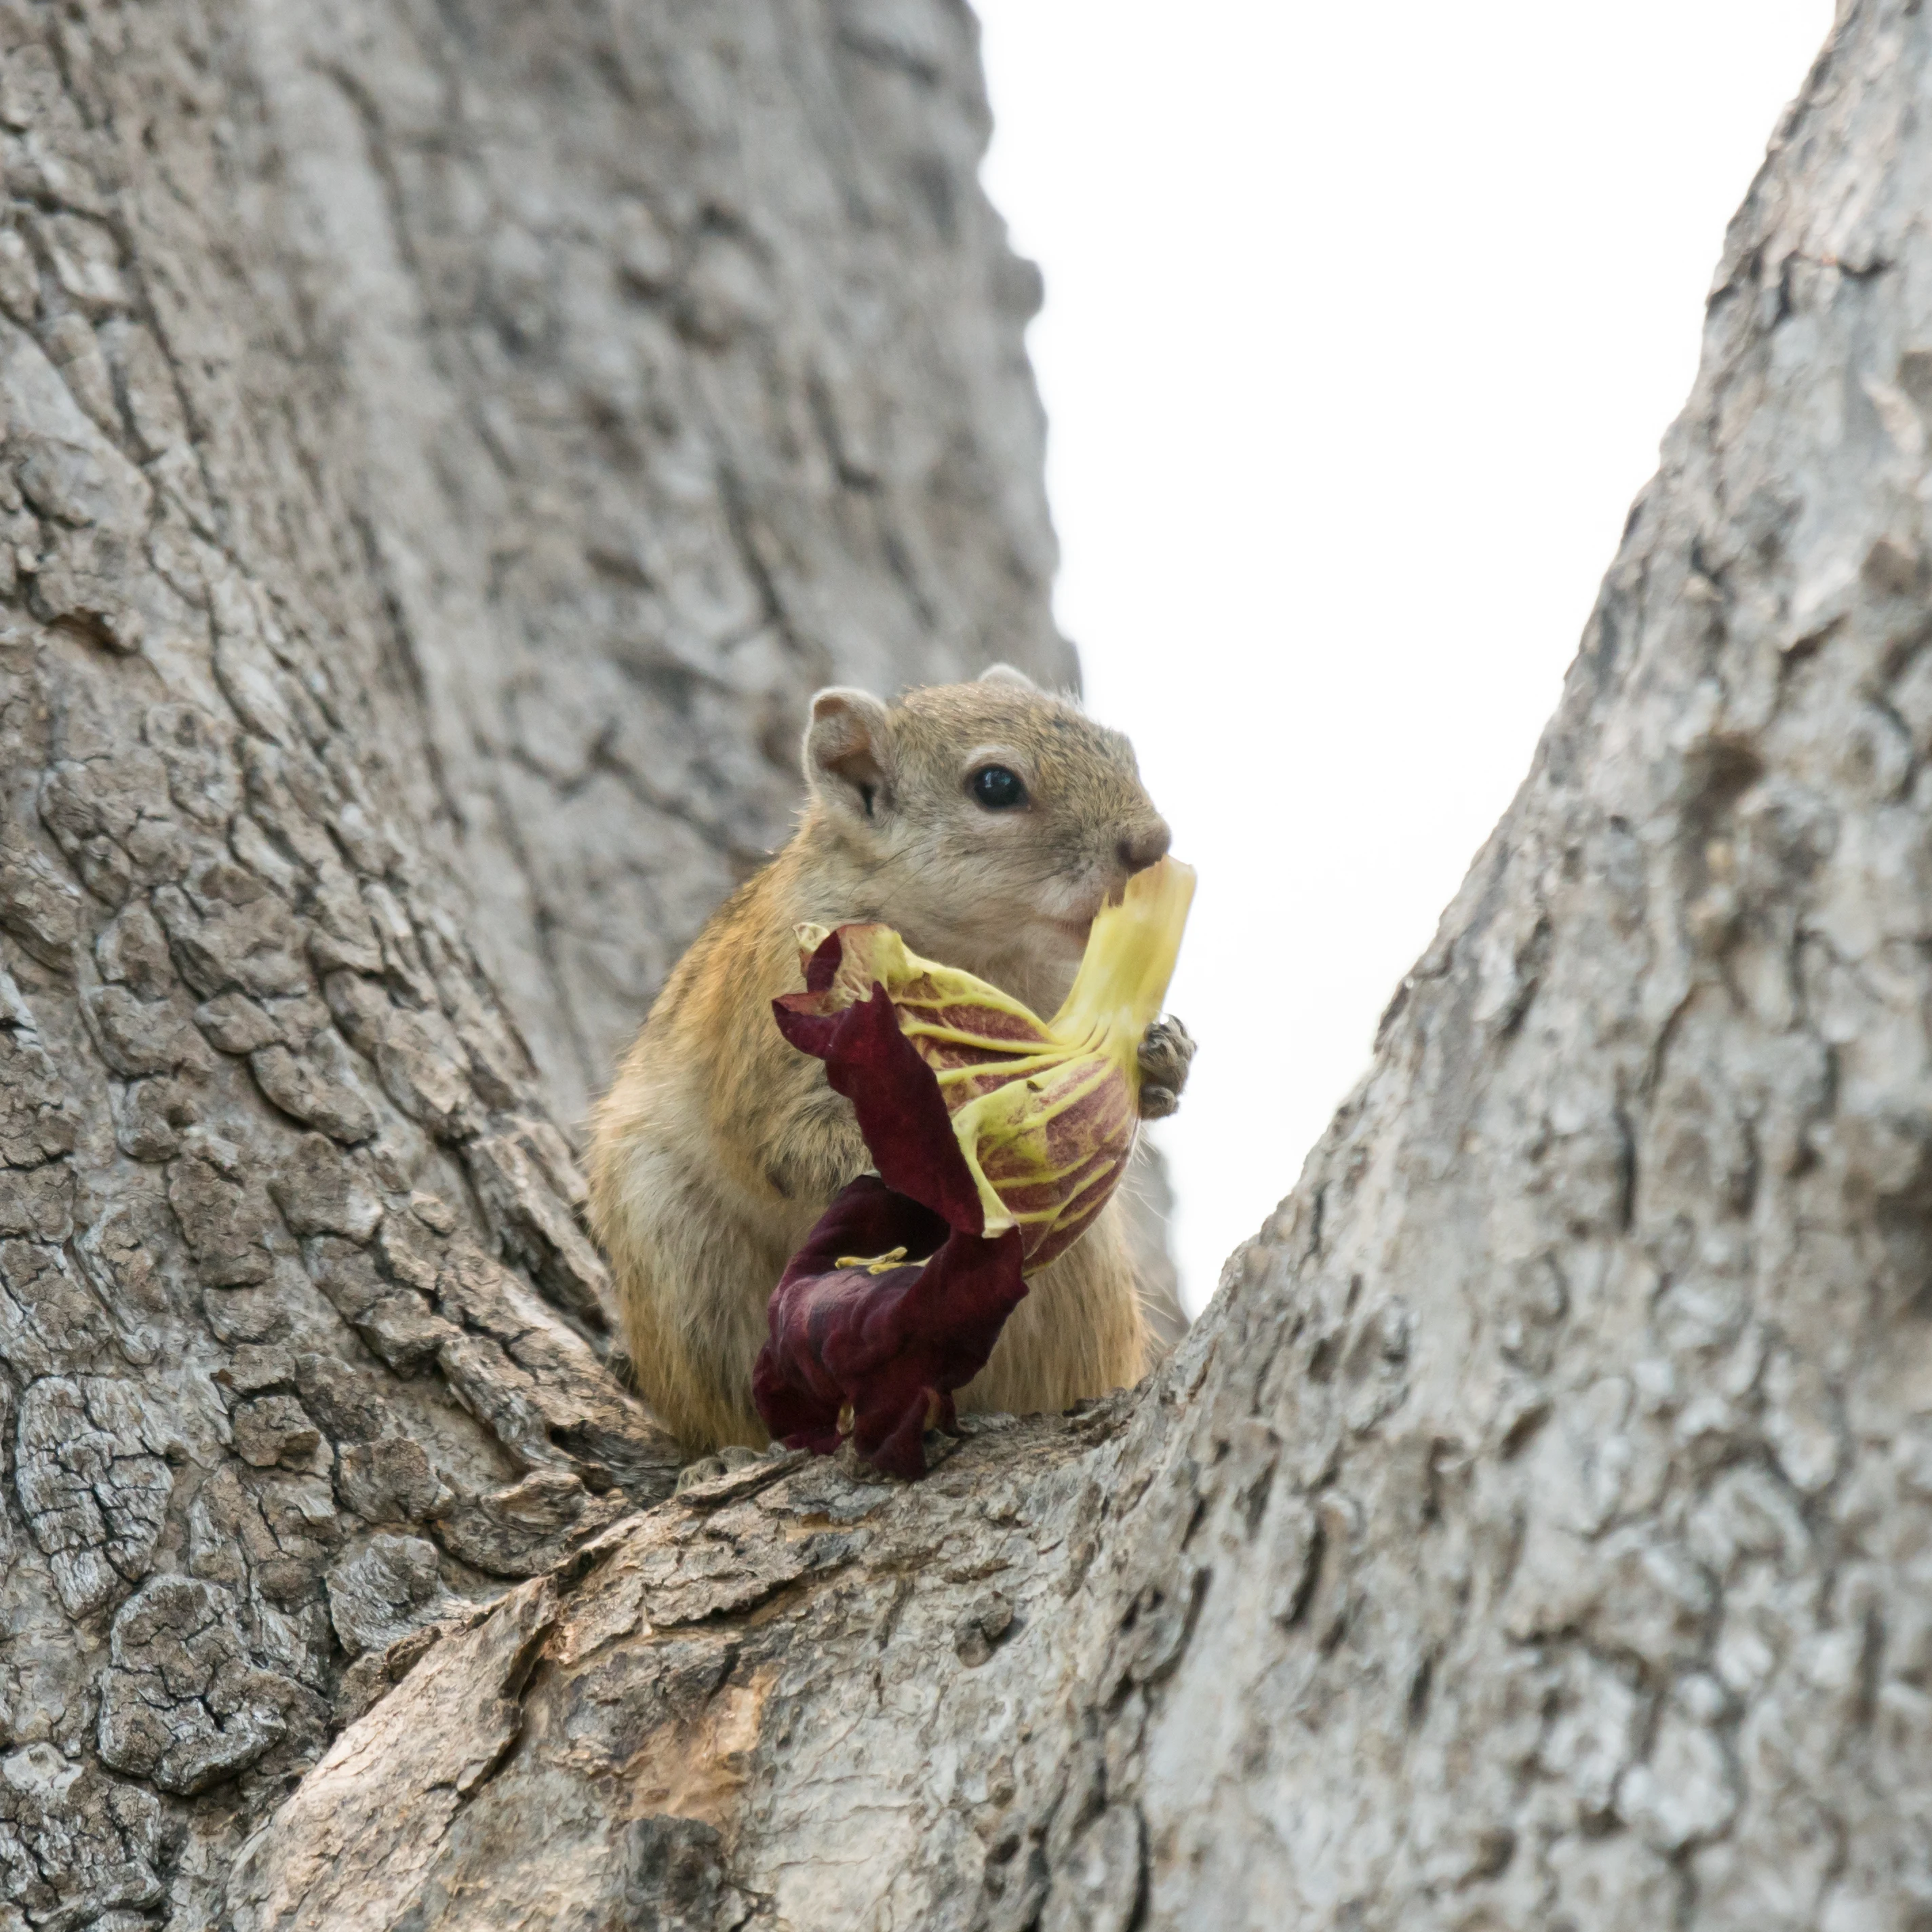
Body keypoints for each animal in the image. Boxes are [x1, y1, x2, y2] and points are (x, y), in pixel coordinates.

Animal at [585, 664, 1195, 1454]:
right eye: (995, 785)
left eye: (1121, 748)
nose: (1153, 843)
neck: (985, 950)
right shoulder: (783, 1022)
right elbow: (794, 1142)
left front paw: (1163, 1062)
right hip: (680, 1261)